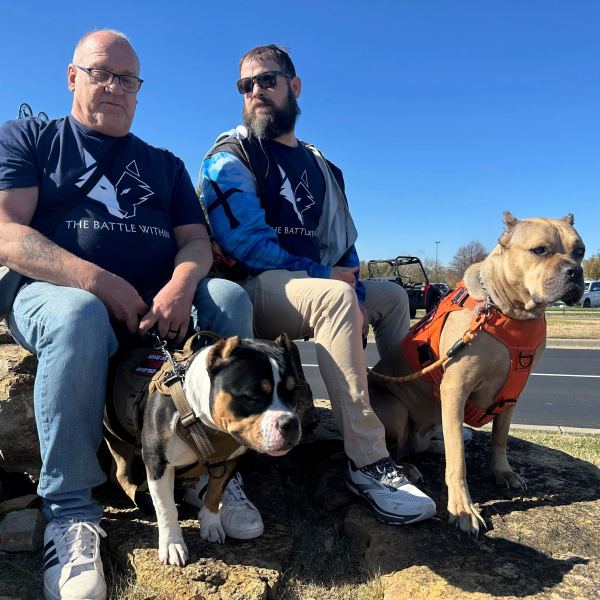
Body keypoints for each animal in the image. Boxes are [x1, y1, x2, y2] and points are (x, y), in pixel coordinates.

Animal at [368, 211, 584, 536]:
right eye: (539, 250)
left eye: (580, 251)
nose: (575, 271)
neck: (509, 312)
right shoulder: (455, 389)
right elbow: (458, 459)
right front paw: (462, 508)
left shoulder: (512, 395)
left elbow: (500, 437)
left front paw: (503, 472)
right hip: (394, 411)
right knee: (395, 449)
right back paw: (407, 467)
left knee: (432, 442)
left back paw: (436, 446)